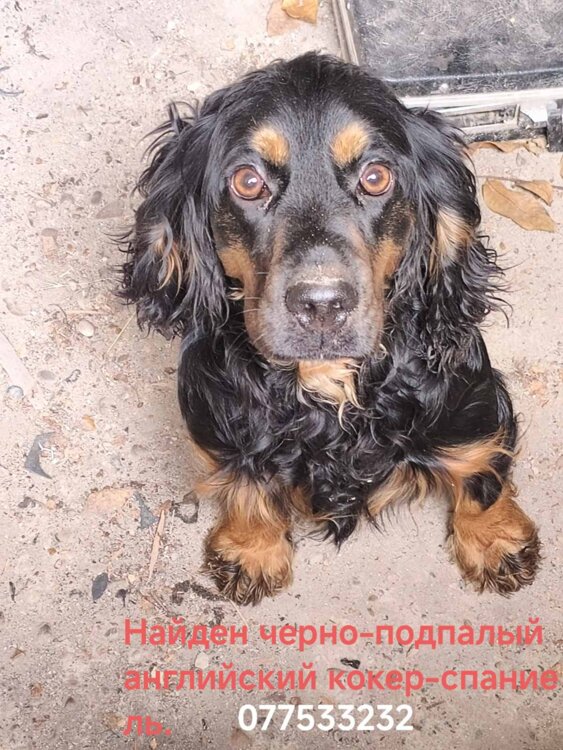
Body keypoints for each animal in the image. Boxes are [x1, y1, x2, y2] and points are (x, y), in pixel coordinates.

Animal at [120, 52, 540, 604]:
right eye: (247, 181)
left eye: (377, 177)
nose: (322, 305)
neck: (328, 386)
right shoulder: (217, 420)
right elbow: (247, 483)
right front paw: (251, 549)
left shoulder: (472, 408)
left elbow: (479, 473)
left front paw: (495, 542)